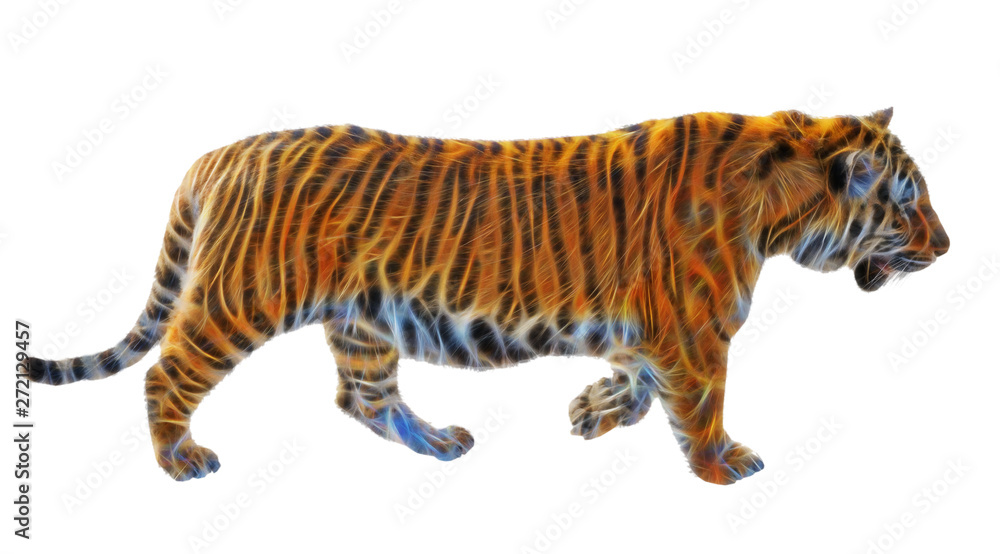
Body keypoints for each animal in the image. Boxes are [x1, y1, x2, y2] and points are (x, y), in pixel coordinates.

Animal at [26, 107, 949, 484]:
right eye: (908, 202)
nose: (946, 246)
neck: (783, 209)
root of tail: (218, 155)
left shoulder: (652, 330)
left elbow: (641, 388)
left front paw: (590, 412)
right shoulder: (694, 332)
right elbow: (701, 405)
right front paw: (725, 467)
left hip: (362, 322)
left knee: (363, 398)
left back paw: (439, 442)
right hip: (237, 301)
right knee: (167, 373)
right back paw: (180, 460)